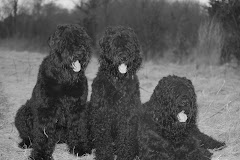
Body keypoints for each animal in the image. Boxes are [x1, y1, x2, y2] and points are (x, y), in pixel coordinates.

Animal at [14, 24, 92, 160]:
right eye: (65, 40)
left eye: (83, 39)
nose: (79, 52)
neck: (64, 79)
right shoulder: (47, 109)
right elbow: (44, 134)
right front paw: (40, 155)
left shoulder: (78, 108)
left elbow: (77, 128)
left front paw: (79, 148)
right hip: (23, 112)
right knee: (27, 135)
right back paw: (25, 143)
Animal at [89, 25, 142, 159]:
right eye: (114, 44)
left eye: (129, 44)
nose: (123, 57)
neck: (118, 81)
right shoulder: (102, 114)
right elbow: (103, 141)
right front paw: (104, 156)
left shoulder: (127, 115)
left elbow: (125, 139)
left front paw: (125, 155)